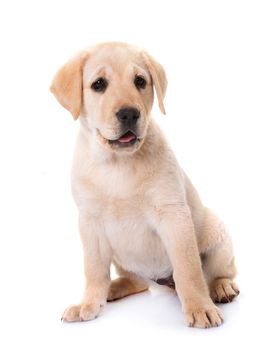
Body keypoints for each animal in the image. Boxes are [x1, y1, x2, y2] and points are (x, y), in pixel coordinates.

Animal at [50, 41, 238, 328]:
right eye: (98, 84)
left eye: (140, 81)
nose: (129, 113)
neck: (117, 163)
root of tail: (162, 283)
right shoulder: (90, 222)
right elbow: (94, 270)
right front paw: (88, 303)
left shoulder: (173, 216)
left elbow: (188, 269)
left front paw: (199, 307)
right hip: (123, 259)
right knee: (135, 280)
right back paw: (112, 289)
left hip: (218, 236)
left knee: (218, 272)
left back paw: (221, 287)